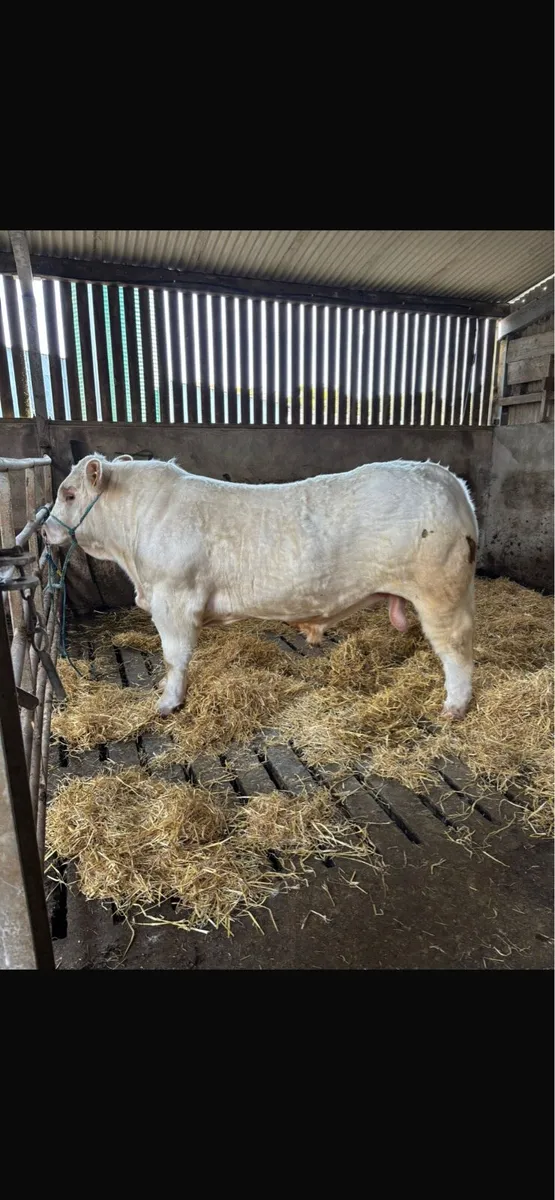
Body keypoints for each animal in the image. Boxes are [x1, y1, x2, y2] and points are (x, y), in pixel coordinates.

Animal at [42, 454, 478, 721]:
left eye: (69, 493)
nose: (45, 530)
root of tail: (442, 475)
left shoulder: (174, 598)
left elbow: (174, 656)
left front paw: (168, 701)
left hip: (439, 593)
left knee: (456, 650)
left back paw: (454, 706)